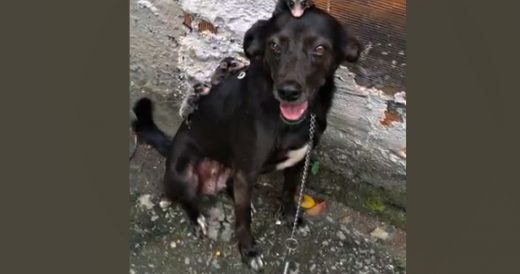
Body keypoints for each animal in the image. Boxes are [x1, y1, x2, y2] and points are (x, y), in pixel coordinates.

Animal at [133, 6, 362, 272]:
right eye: (274, 45)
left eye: (320, 48)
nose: (288, 92)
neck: (292, 121)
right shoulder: (247, 171)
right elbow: (243, 221)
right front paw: (249, 251)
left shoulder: (298, 160)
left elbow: (289, 192)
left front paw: (289, 217)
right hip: (183, 173)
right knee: (182, 197)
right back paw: (197, 218)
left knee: (231, 188)